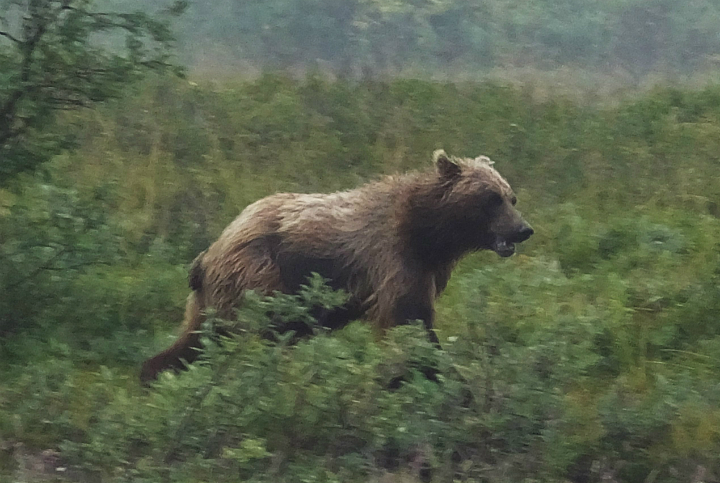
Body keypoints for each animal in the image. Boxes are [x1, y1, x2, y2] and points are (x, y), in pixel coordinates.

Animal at [142, 151, 536, 386]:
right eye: (491, 199)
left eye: (511, 196)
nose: (523, 229)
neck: (429, 234)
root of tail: (212, 248)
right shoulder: (394, 257)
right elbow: (407, 319)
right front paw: (427, 373)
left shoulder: (427, 268)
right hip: (257, 275)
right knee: (255, 328)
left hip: (217, 295)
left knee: (195, 338)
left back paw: (155, 373)